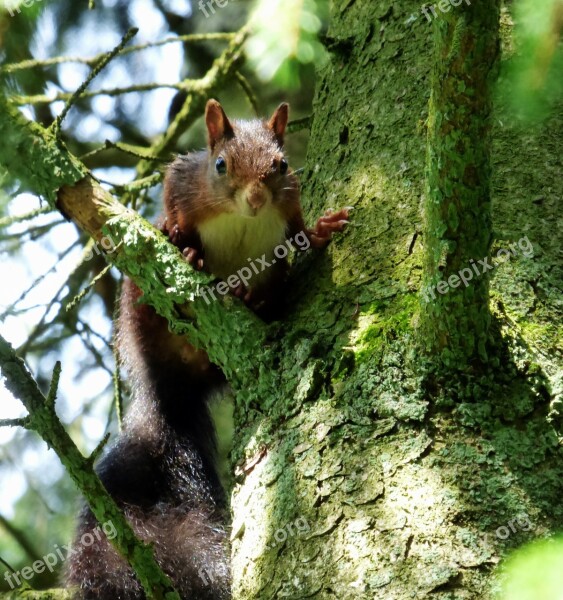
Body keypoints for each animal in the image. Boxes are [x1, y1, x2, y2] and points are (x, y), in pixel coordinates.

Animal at [65, 101, 348, 596]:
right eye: (220, 165)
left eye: (282, 164)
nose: (256, 200)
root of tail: (169, 383)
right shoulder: (184, 179)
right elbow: (172, 198)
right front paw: (183, 241)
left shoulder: (288, 208)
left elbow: (300, 234)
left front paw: (324, 228)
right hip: (137, 302)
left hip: (271, 278)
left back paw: (252, 299)